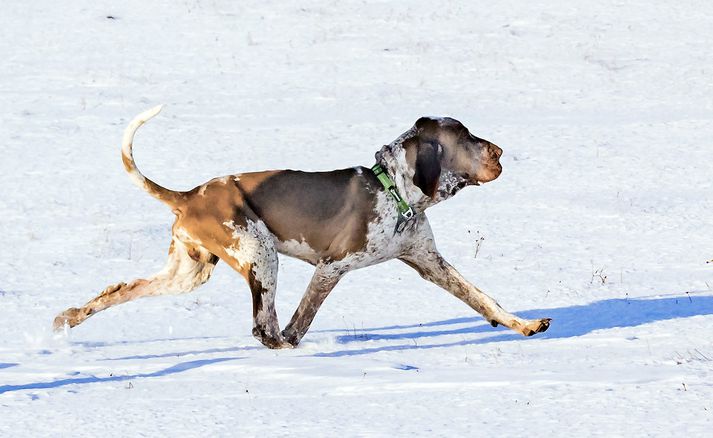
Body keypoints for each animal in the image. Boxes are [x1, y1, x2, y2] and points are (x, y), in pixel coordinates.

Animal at [54, 106, 552, 350]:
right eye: (466, 136)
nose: (500, 151)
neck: (396, 194)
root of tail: (191, 194)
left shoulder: (430, 262)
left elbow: (485, 300)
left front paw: (525, 325)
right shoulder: (331, 268)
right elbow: (300, 321)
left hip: (189, 273)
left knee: (117, 292)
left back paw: (69, 318)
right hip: (260, 255)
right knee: (265, 329)